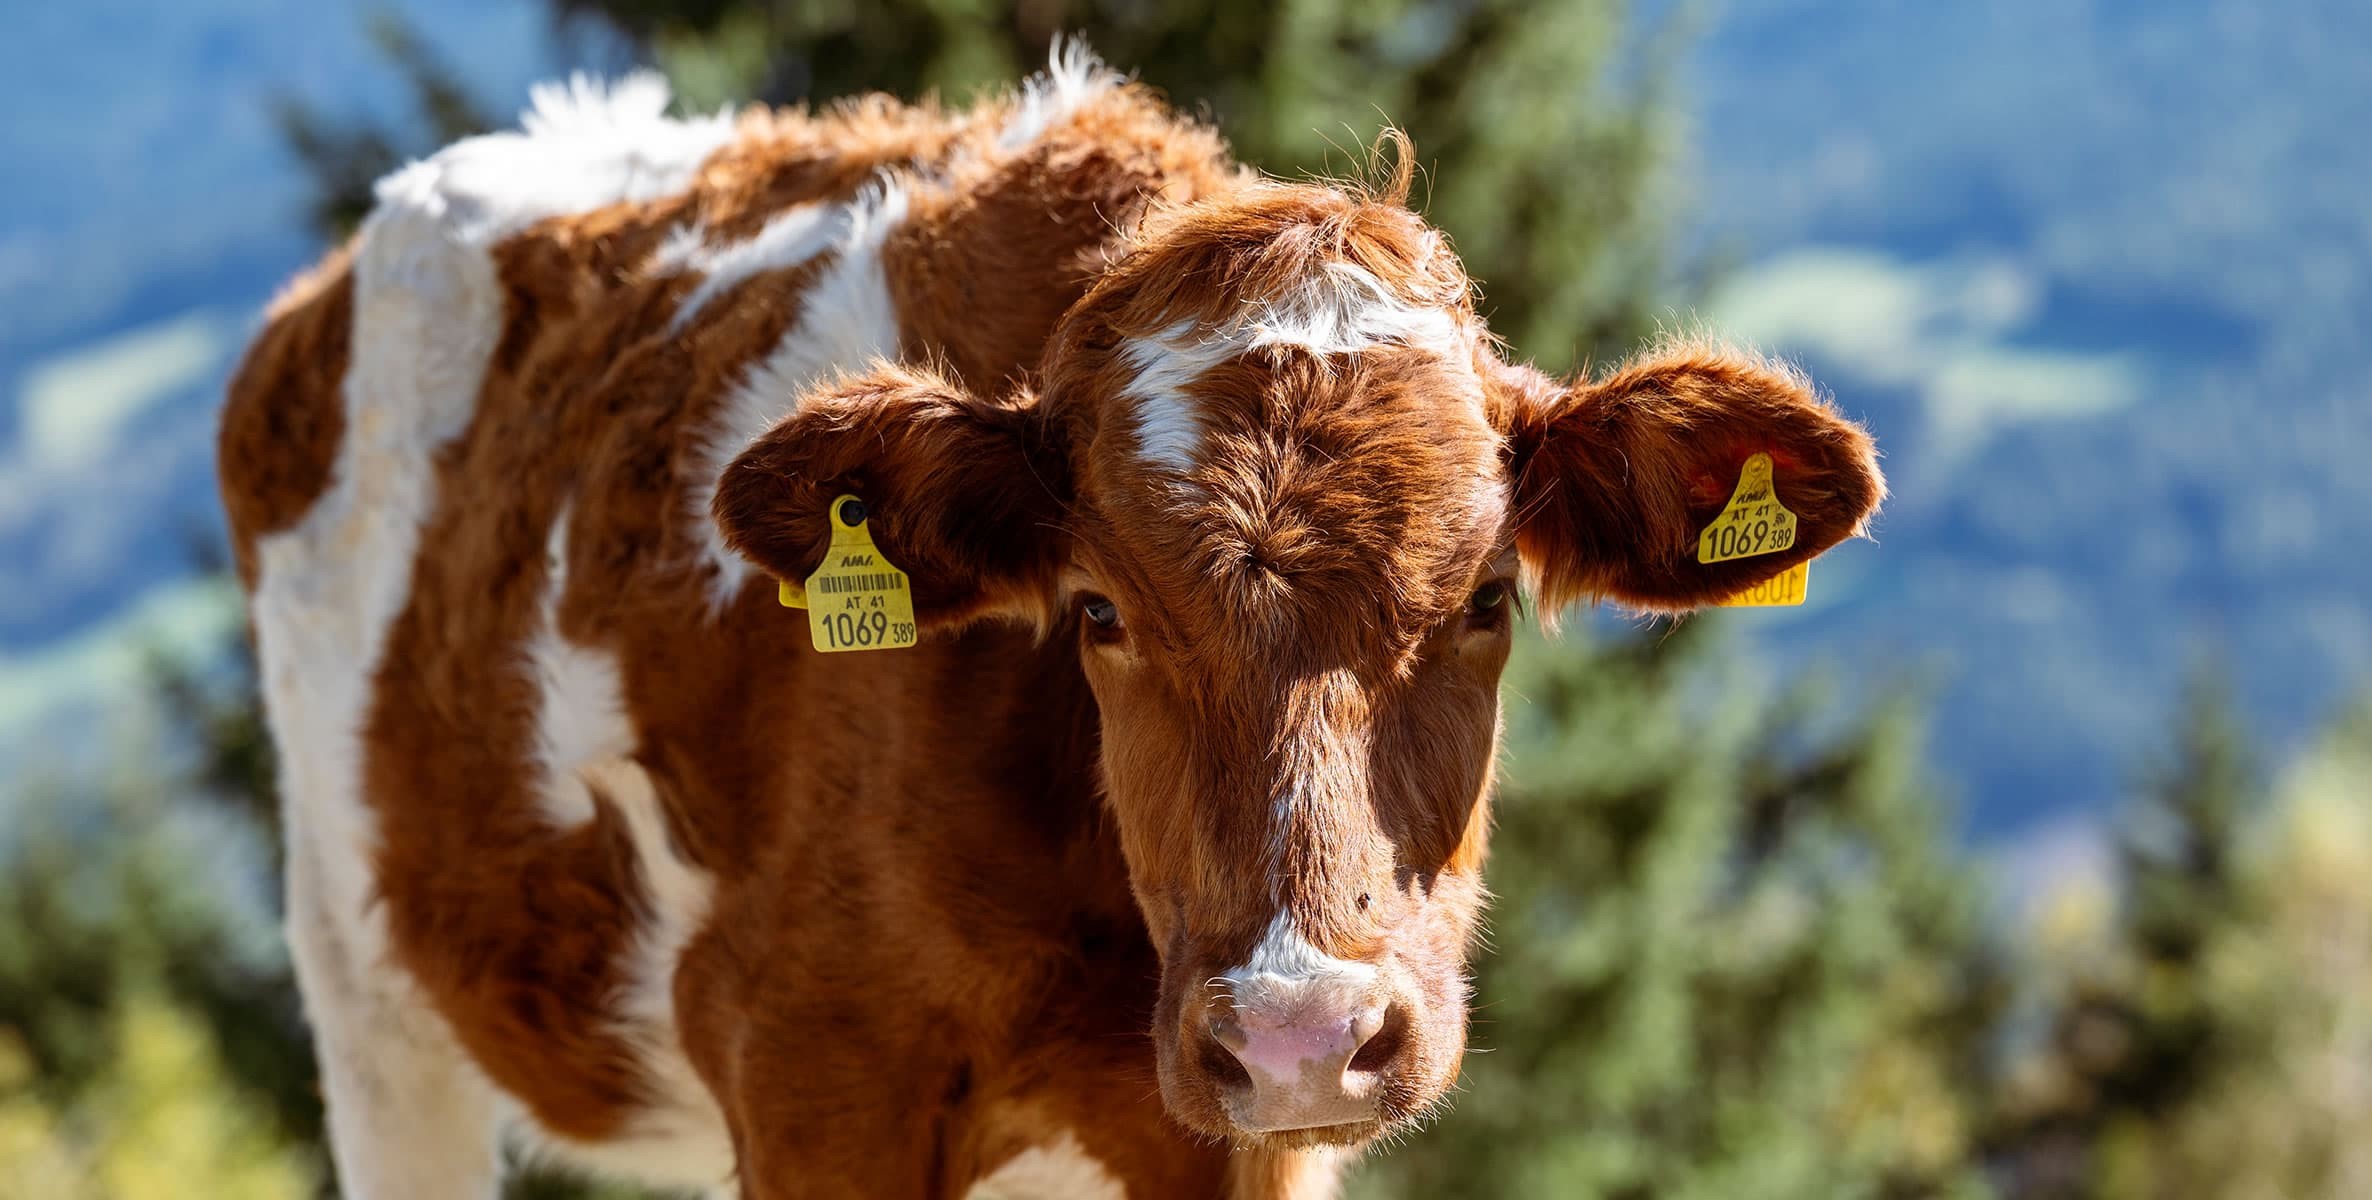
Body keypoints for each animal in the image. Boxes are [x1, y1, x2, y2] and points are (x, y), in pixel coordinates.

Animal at [217, 42, 1882, 1200]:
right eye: (1098, 609)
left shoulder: (1233, 1132)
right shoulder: (812, 1068)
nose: (1300, 1029)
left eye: (1485, 597)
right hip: (370, 1005)